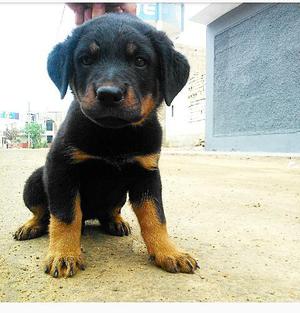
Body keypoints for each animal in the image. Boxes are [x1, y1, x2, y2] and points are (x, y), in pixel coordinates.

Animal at [14, 13, 198, 276]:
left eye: (140, 61)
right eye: (86, 60)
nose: (108, 94)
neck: (114, 135)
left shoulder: (147, 173)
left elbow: (155, 216)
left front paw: (168, 251)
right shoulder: (61, 168)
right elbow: (66, 215)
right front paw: (63, 254)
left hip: (119, 196)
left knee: (109, 211)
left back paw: (116, 222)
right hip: (36, 178)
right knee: (44, 213)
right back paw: (31, 226)